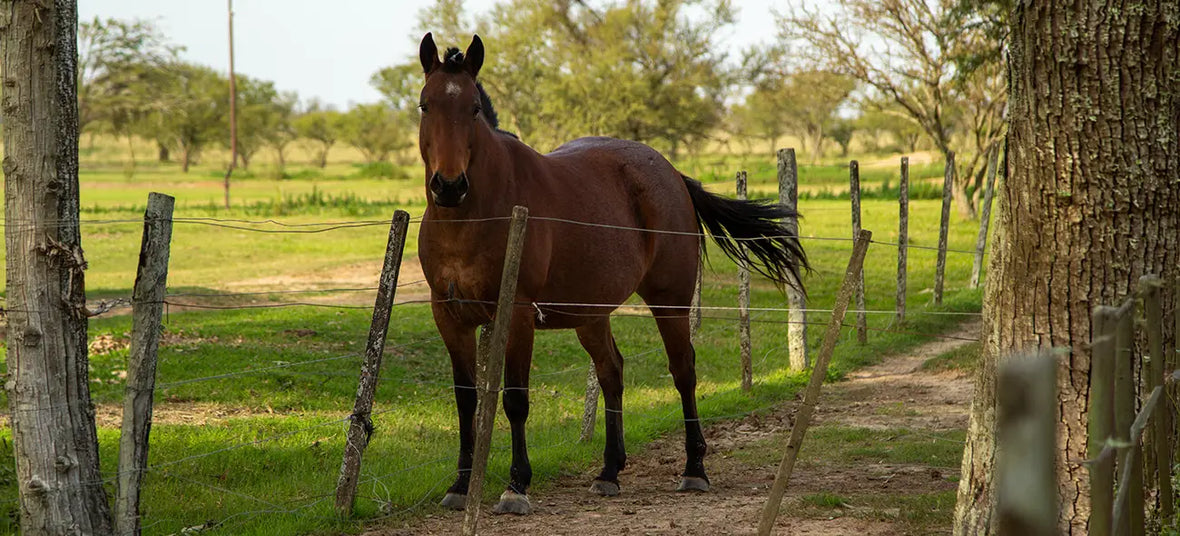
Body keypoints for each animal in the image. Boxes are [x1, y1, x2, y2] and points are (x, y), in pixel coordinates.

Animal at [416, 33, 808, 515]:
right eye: (425, 105)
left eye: (472, 108)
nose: (449, 186)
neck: (472, 218)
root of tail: (672, 173)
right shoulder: (449, 316)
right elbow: (465, 399)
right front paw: (459, 484)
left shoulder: (518, 315)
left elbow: (515, 399)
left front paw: (516, 485)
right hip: (591, 314)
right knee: (611, 372)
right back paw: (608, 471)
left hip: (669, 302)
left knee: (683, 371)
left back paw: (694, 469)